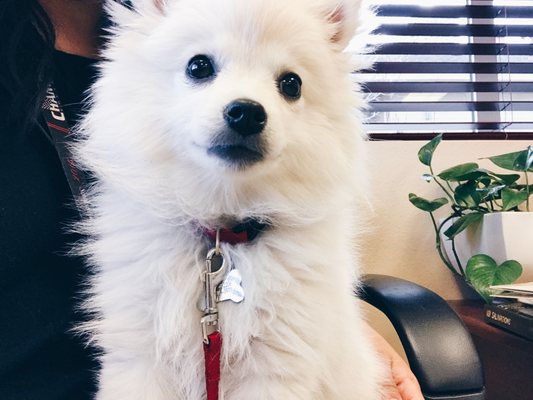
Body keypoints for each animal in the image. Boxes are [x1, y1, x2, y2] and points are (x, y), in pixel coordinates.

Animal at [74, 0, 382, 398]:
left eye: (291, 84)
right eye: (198, 66)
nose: (247, 112)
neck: (223, 227)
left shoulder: (275, 366)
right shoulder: (141, 356)